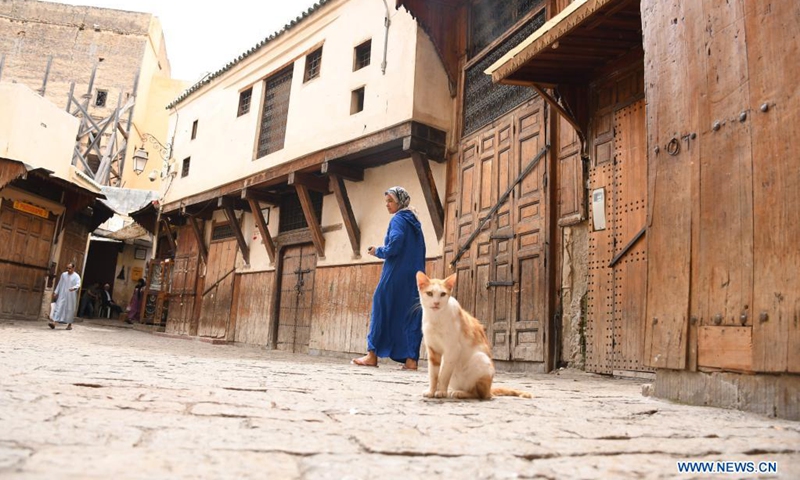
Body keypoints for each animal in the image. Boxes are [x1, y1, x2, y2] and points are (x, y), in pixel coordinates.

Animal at [412, 272, 532, 400]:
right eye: (429, 293)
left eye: (443, 294)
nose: (436, 303)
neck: (435, 318)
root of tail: (490, 389)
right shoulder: (433, 350)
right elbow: (433, 375)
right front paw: (431, 391)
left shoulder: (452, 349)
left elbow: (443, 374)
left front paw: (441, 392)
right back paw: (456, 391)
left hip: (479, 359)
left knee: (479, 394)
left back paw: (460, 393)